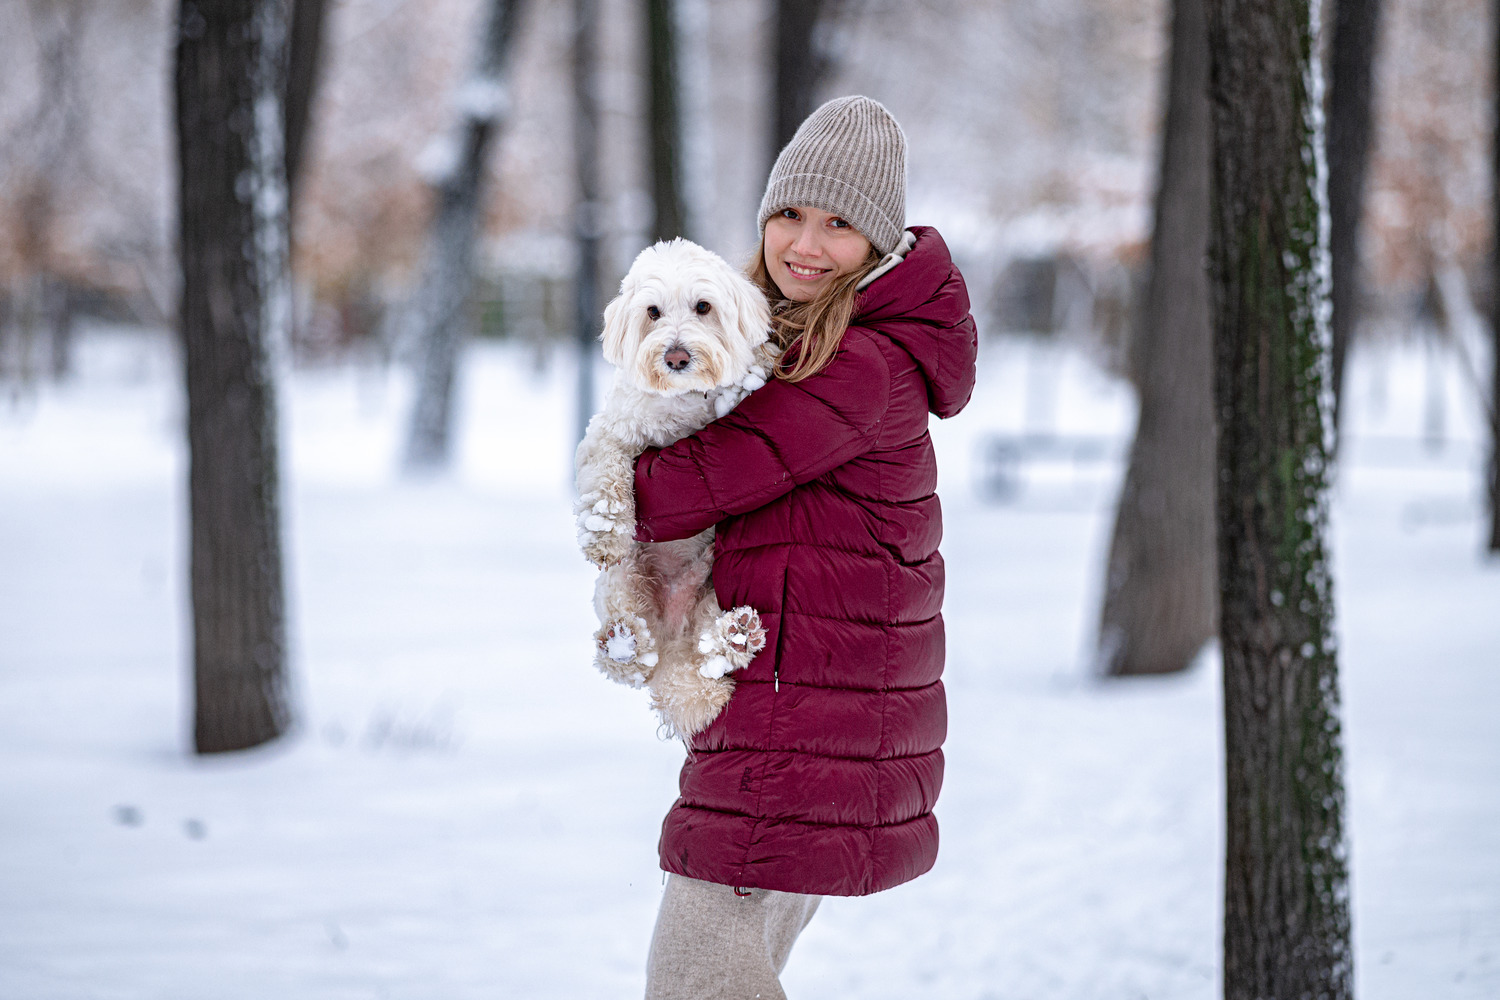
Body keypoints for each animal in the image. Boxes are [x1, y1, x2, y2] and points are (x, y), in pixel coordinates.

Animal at [573, 238, 774, 740]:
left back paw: (735, 637)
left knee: (709, 658)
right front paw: (603, 530)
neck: (681, 403)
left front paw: (749, 376)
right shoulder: (610, 433)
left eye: (703, 307)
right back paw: (623, 644)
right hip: (620, 583)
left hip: (712, 590)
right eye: (653, 312)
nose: (677, 356)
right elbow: (605, 475)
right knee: (631, 663)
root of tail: (670, 634)